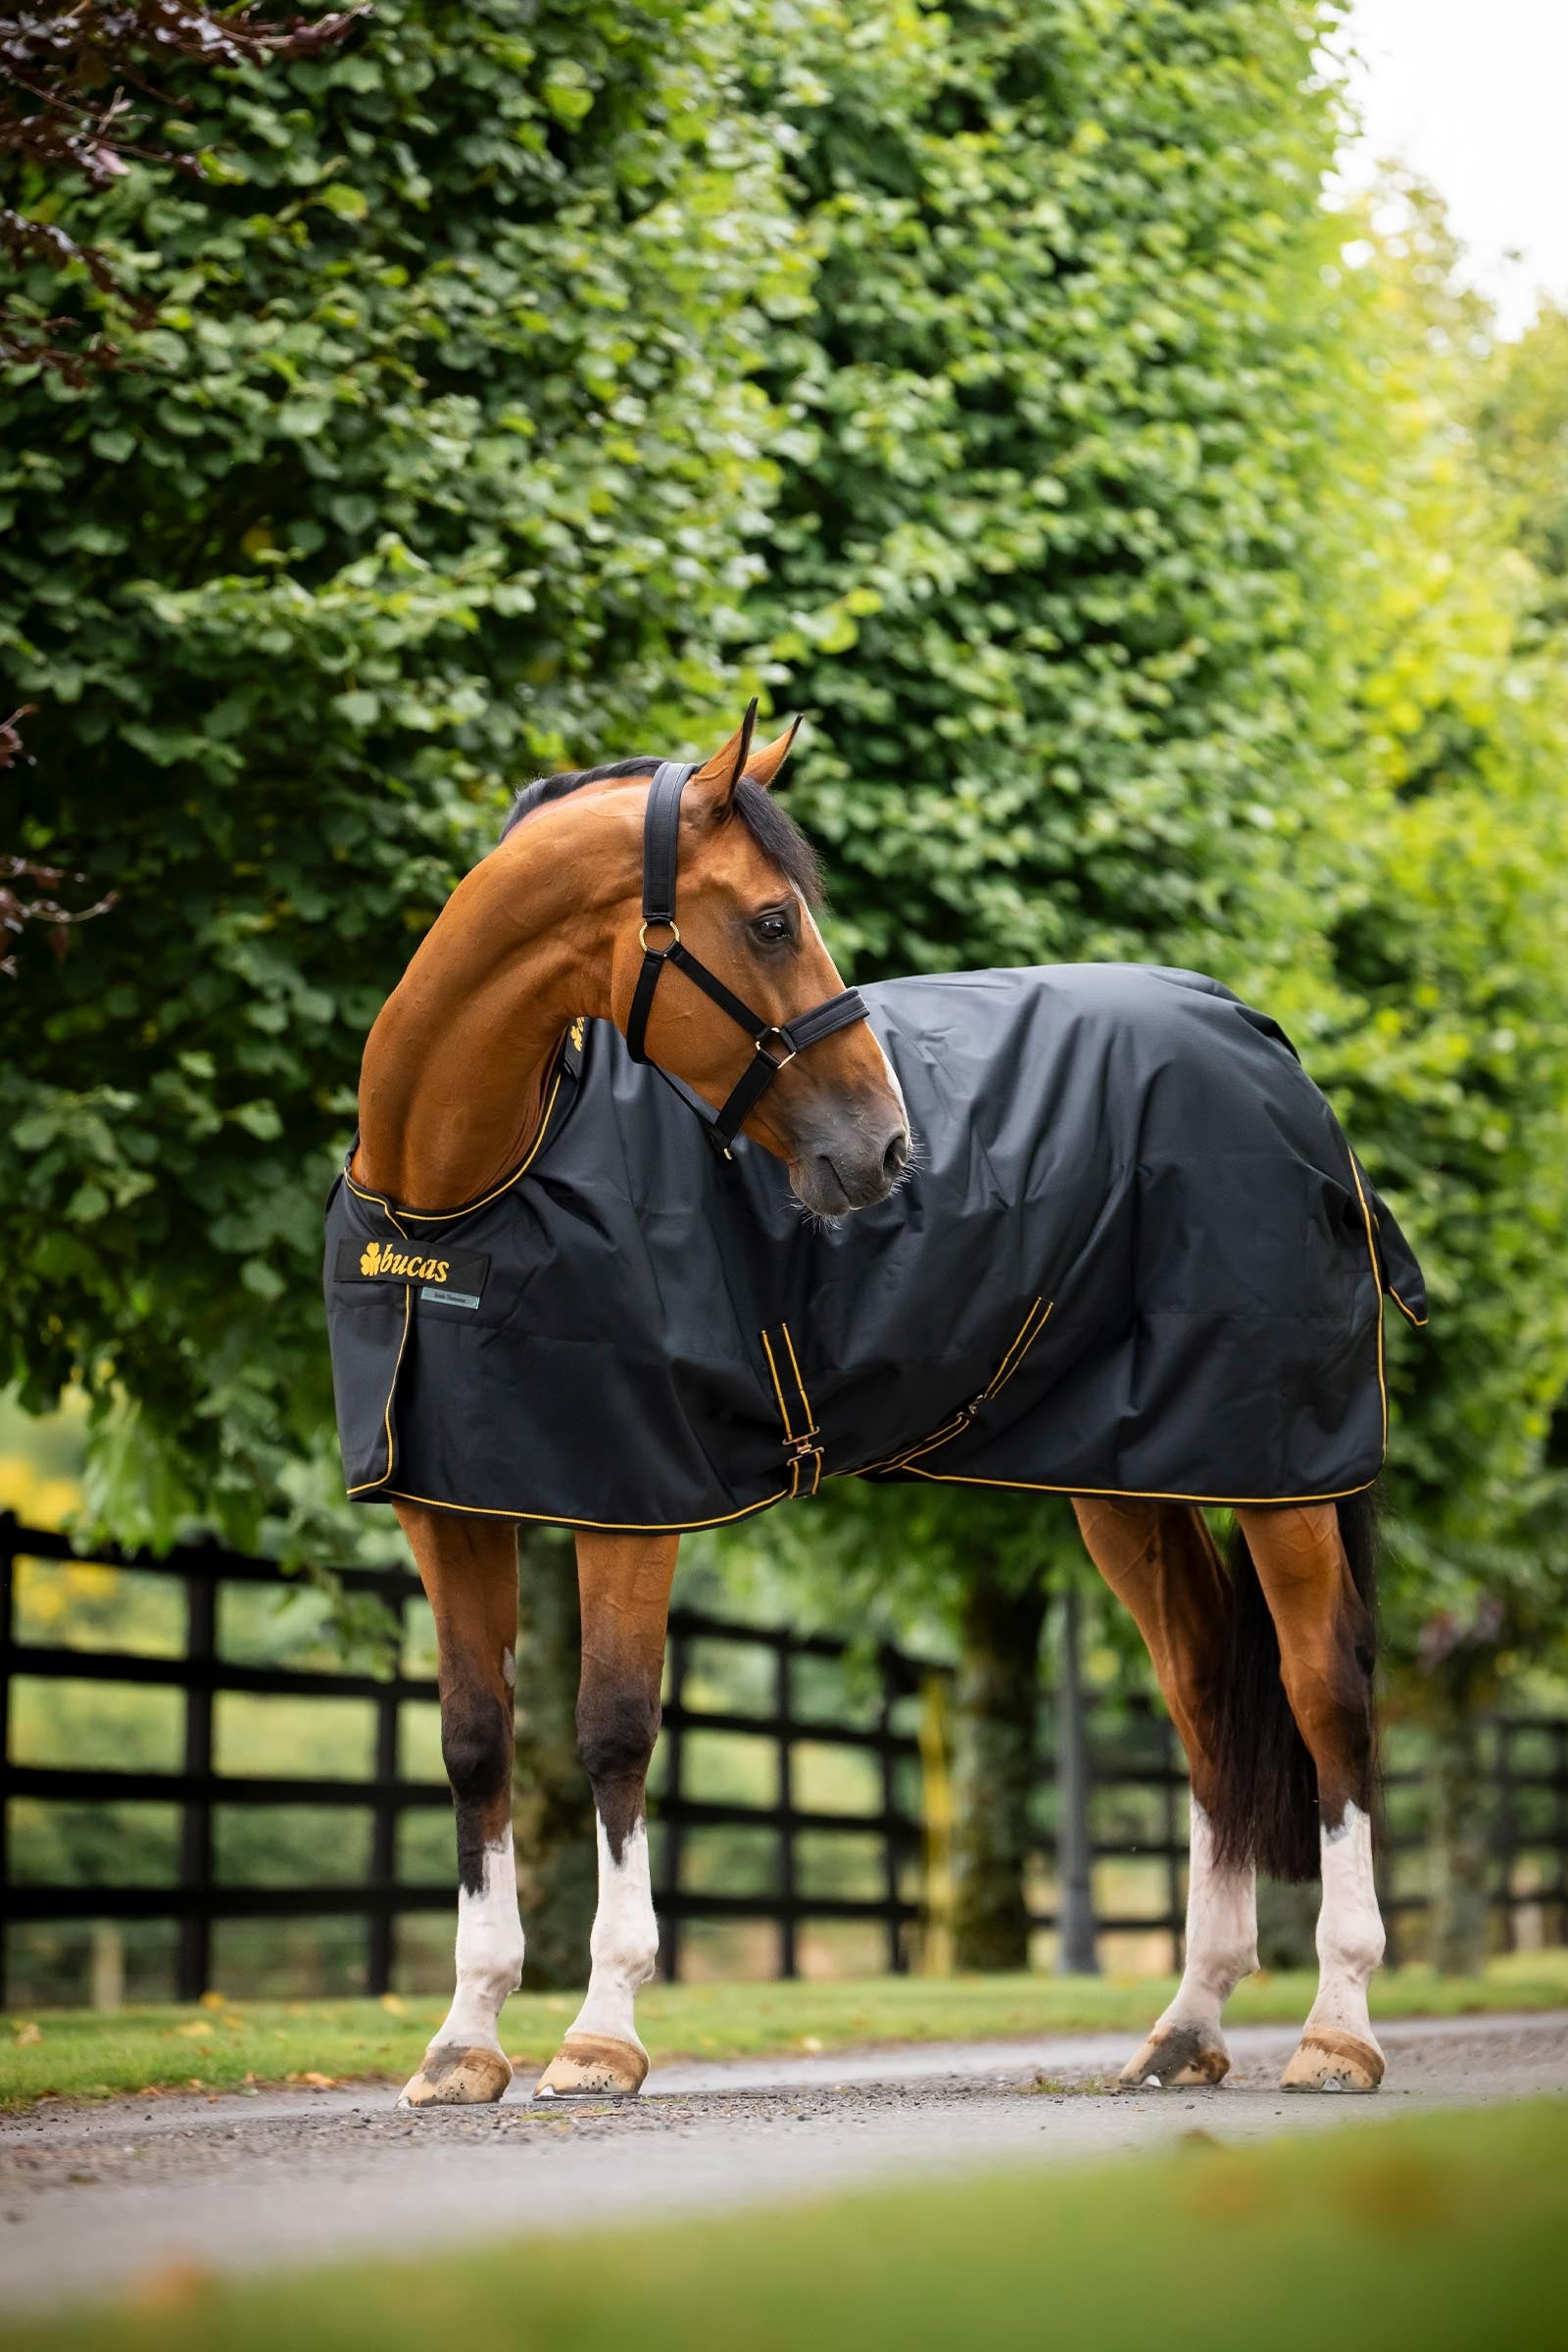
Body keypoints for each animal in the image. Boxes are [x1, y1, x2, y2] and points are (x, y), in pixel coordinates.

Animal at [328, 704, 1417, 2107]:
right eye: (772, 920)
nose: (890, 1150)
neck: (469, 1189)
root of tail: (1266, 1045)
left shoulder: (635, 1506)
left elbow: (615, 1733)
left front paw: (601, 2034)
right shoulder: (451, 1506)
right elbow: (474, 1745)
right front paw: (462, 2043)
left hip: (1278, 1471)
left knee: (1323, 1695)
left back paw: (1339, 2027)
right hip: (1135, 1482)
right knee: (1205, 1704)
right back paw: (1187, 2024)